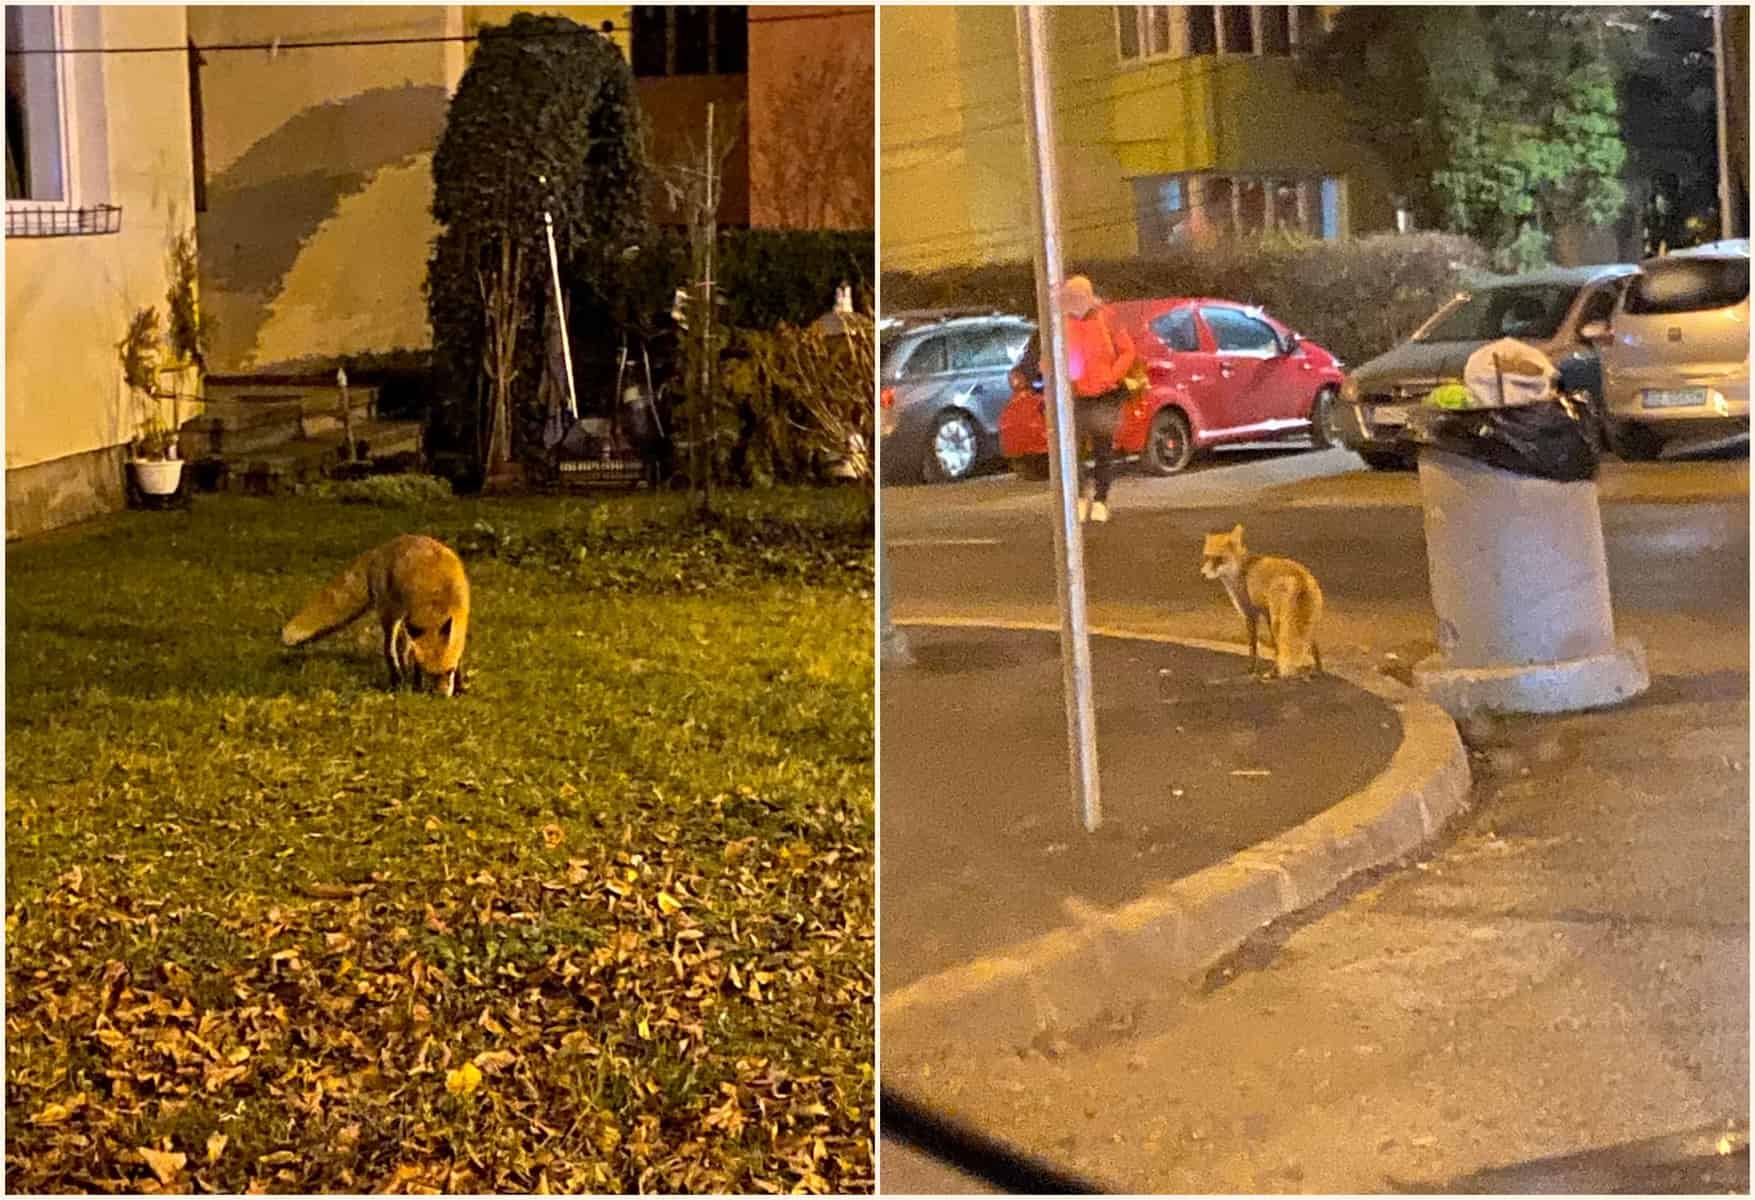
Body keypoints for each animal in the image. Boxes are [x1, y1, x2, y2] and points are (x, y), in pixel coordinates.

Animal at [277, 533, 466, 694]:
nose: (441, 696)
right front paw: (418, 686)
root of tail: (381, 548)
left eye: (449, 670)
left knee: (402, 649)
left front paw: (459, 687)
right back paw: (397, 681)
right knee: (389, 650)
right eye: (430, 674)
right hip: (391, 615)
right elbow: (413, 659)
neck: (435, 605)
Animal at [1200, 522, 1319, 680]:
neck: (1240, 571)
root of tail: (1300, 576)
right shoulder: (1265, 614)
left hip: (1279, 622)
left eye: (1219, 559)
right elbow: (1272, 647)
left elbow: (1255, 647)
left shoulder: (1250, 613)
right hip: (1307, 623)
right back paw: (1317, 671)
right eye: (1207, 557)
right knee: (1314, 646)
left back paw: (1274, 673)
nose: (1203, 574)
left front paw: (1251, 670)